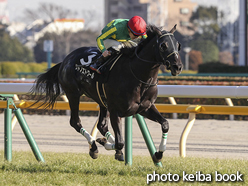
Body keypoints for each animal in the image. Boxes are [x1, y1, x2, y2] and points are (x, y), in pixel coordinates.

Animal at [31, 24, 182, 163]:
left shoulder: (145, 108)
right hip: (73, 94)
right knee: (76, 122)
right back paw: (94, 147)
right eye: (163, 45)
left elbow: (165, 124)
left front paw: (158, 154)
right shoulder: (116, 111)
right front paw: (107, 145)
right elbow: (120, 142)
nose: (178, 66)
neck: (138, 76)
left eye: (178, 45)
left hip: (101, 100)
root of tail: (66, 59)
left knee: (101, 125)